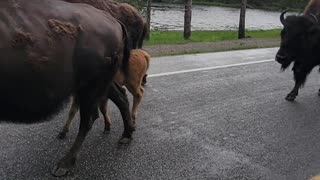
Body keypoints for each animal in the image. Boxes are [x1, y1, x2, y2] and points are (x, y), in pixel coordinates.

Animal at [0, 0, 134, 177]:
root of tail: (115, 22)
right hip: (101, 82)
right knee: (121, 98)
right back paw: (126, 135)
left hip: (91, 86)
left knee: (88, 119)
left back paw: (64, 164)